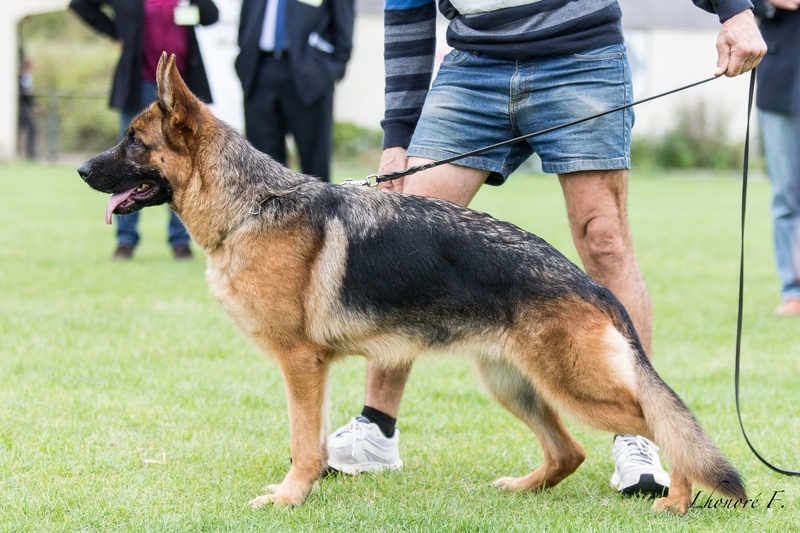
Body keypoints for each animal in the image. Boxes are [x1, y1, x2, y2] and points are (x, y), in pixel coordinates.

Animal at [78, 53, 748, 512]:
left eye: (133, 141)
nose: (82, 169)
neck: (251, 206)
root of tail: (589, 284)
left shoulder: (301, 364)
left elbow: (303, 442)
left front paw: (291, 498)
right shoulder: (312, 370)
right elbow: (308, 439)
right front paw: (304, 488)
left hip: (575, 387)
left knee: (664, 430)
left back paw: (676, 499)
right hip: (512, 384)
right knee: (570, 451)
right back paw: (525, 486)